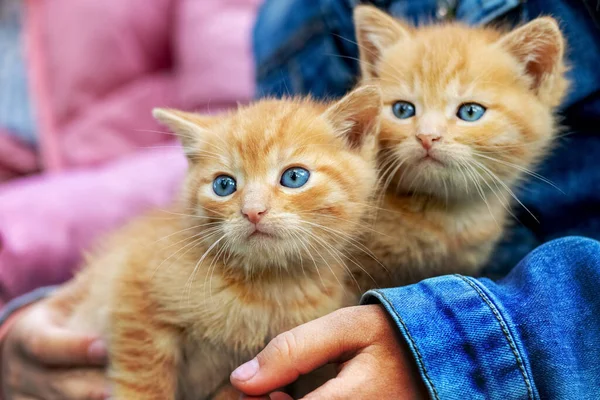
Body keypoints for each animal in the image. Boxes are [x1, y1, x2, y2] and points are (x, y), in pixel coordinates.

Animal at [63, 86, 382, 398]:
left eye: (294, 177)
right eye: (224, 185)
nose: (253, 211)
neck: (267, 287)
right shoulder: (134, 293)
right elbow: (142, 381)